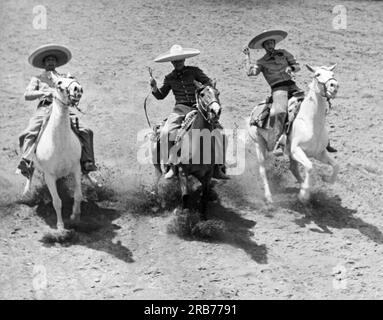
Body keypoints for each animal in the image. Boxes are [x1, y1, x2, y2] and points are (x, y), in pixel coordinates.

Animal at [31, 72, 85, 230]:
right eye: (59, 82)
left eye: (73, 79)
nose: (77, 89)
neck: (60, 144)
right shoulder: (49, 176)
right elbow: (57, 202)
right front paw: (60, 226)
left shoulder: (76, 168)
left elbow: (78, 195)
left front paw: (75, 217)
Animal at [249, 64, 340, 204]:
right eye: (317, 74)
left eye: (332, 74)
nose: (334, 85)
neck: (311, 123)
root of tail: (255, 110)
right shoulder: (296, 150)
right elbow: (309, 167)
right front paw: (303, 195)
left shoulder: (319, 153)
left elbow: (336, 165)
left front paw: (325, 179)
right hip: (259, 143)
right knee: (262, 170)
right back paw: (269, 198)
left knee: (293, 168)